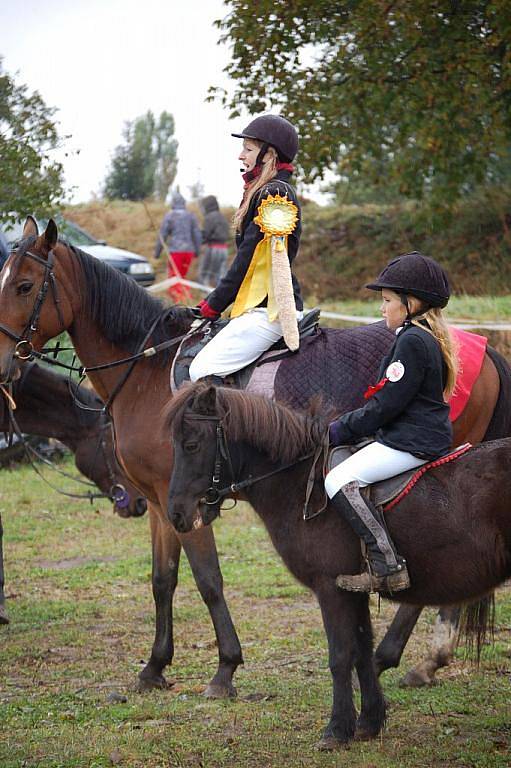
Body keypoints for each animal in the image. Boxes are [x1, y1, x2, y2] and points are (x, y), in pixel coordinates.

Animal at [167, 384, 511, 752]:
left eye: (191, 445)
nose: (176, 515)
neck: (300, 481)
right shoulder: (353, 590)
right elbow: (361, 650)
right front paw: (369, 722)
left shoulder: (330, 588)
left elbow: (340, 656)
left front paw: (336, 729)